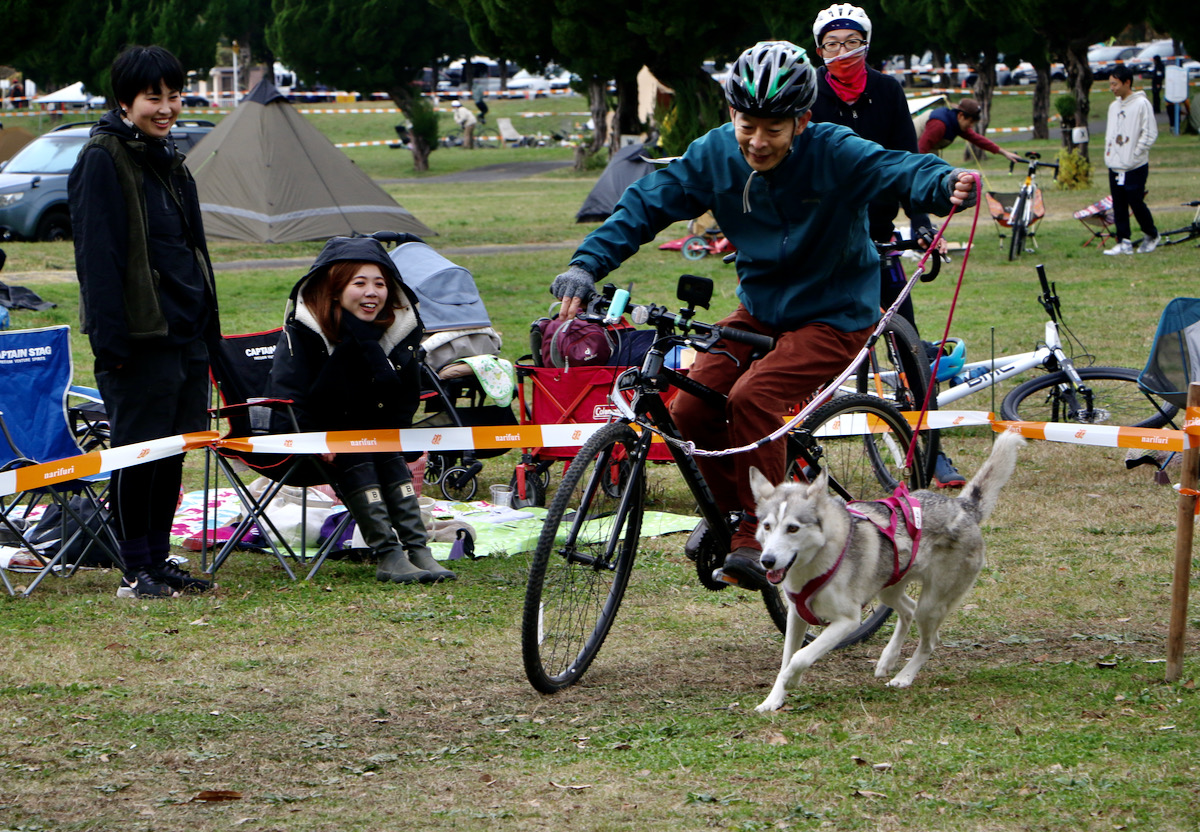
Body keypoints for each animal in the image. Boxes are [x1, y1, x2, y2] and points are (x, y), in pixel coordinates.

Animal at [748, 432, 1022, 710]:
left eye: (793, 528)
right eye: (767, 526)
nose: (767, 561)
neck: (815, 561)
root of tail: (964, 507)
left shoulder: (848, 621)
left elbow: (800, 657)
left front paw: (792, 678)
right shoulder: (796, 616)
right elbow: (787, 658)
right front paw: (773, 700)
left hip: (932, 605)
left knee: (929, 641)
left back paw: (904, 677)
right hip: (888, 590)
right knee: (908, 609)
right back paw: (888, 659)